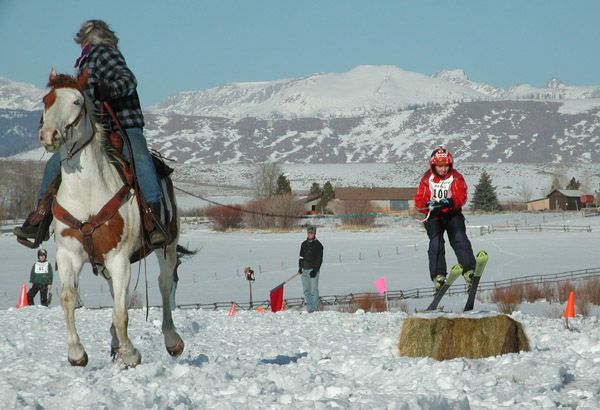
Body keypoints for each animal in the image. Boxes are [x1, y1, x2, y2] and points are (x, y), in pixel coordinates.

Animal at [39, 69, 188, 366]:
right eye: (46, 100)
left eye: (76, 101)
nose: (49, 135)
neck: (86, 193)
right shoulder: (68, 254)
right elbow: (68, 298)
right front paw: (77, 353)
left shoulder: (119, 259)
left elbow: (121, 311)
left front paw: (131, 353)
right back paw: (115, 343)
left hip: (167, 245)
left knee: (165, 284)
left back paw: (172, 340)